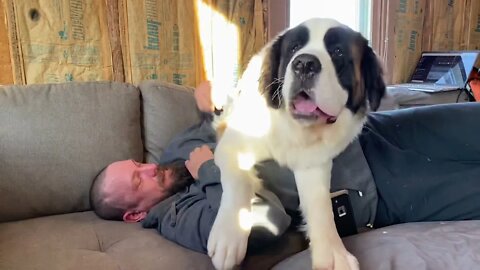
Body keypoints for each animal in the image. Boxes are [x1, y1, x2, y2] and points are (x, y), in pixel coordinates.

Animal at [207, 17, 386, 268]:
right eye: (293, 48)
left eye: (337, 52)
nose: (304, 64)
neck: (296, 131)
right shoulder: (233, 144)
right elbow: (239, 181)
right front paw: (229, 238)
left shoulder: (314, 163)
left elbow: (321, 207)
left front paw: (333, 254)